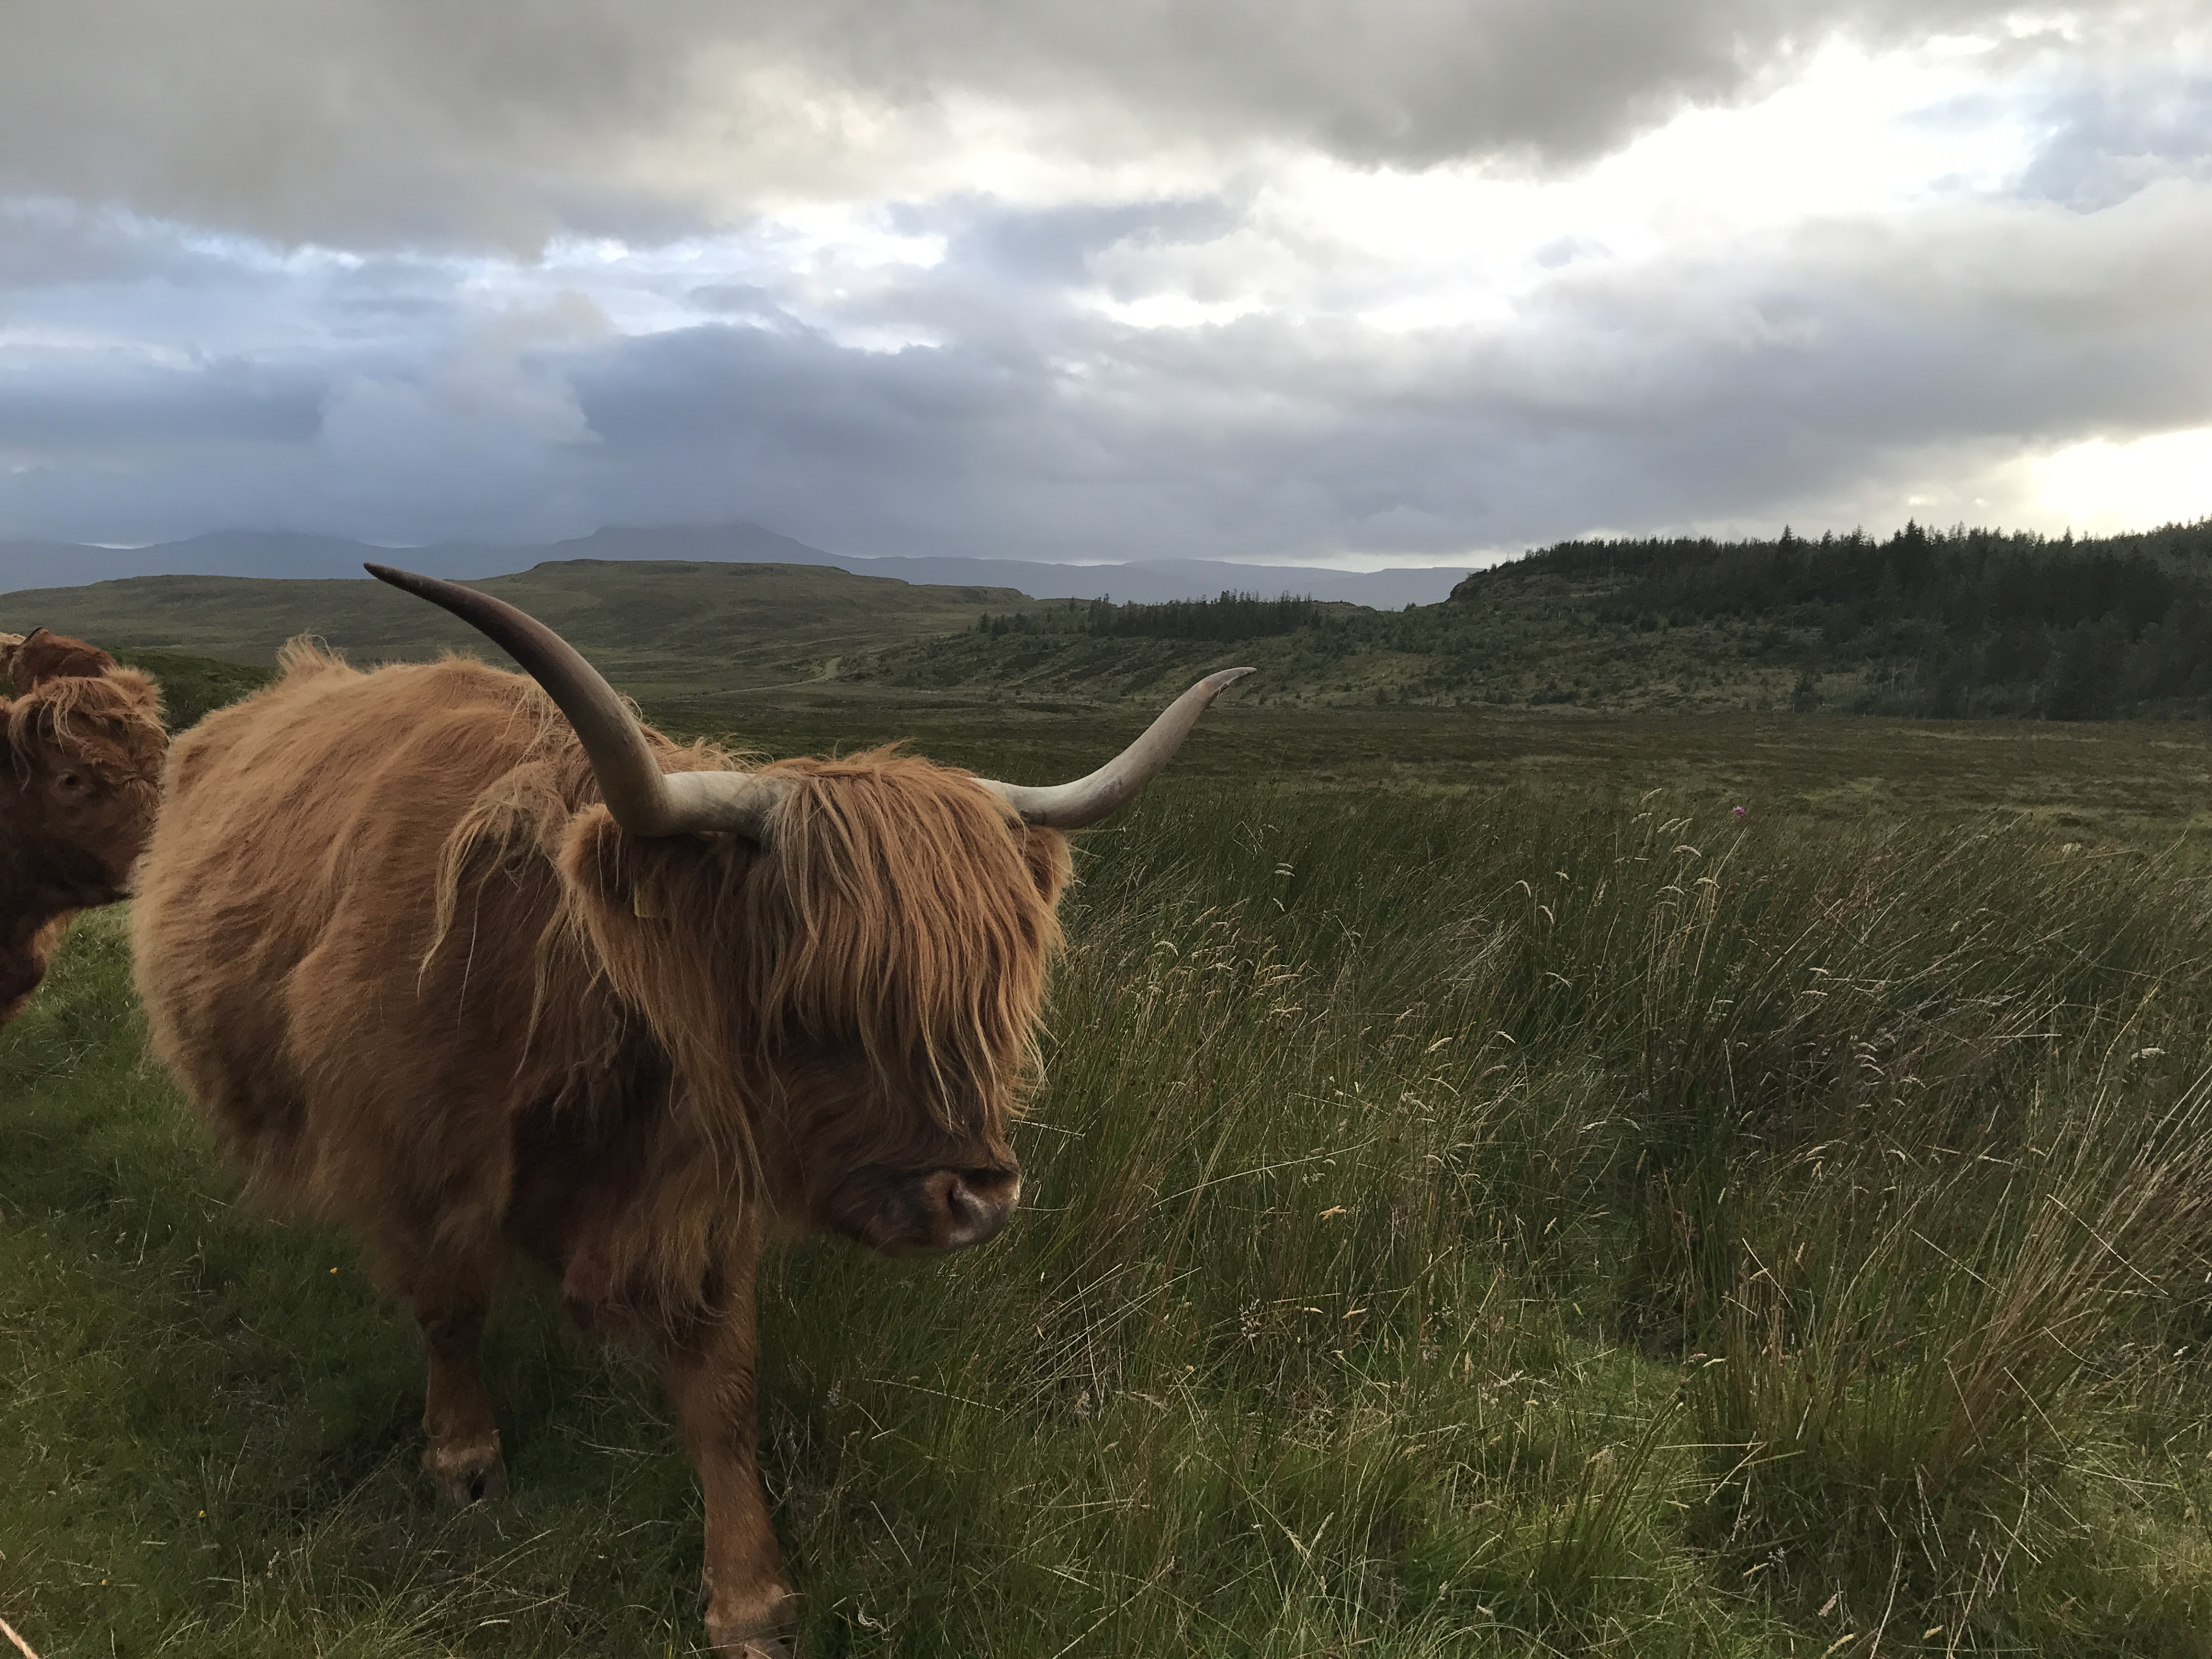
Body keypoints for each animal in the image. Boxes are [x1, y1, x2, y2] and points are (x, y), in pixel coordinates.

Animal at [129, 566, 1256, 1654]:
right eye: (812, 1006)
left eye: (984, 1001)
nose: (978, 1198)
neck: (565, 997)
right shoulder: (412, 1159)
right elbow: (449, 1311)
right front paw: (462, 1457)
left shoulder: (698, 1198)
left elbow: (724, 1390)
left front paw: (750, 1598)